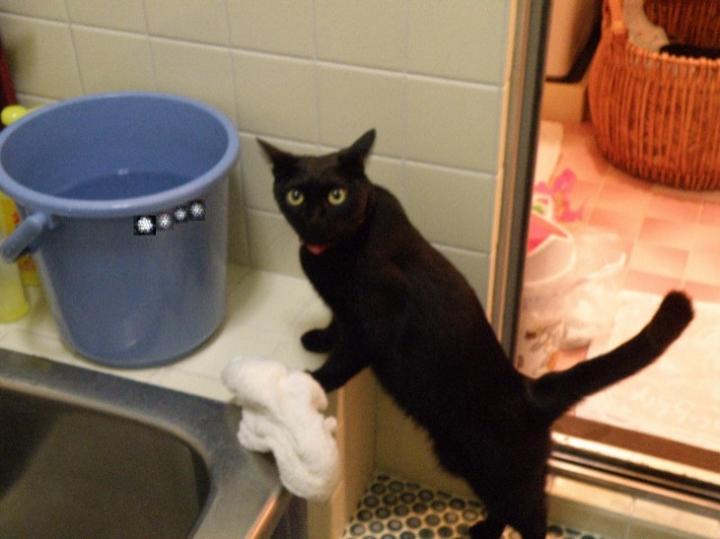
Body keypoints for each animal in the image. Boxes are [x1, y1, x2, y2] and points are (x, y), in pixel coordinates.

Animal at [257, 129, 693, 539]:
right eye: (295, 195)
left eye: (337, 195)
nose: (315, 218)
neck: (330, 252)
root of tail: (530, 390)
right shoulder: (343, 310)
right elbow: (337, 326)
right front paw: (317, 339)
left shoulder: (377, 319)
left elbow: (348, 355)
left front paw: (311, 380)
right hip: (464, 458)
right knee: (504, 506)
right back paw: (484, 530)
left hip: (493, 465)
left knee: (533, 514)